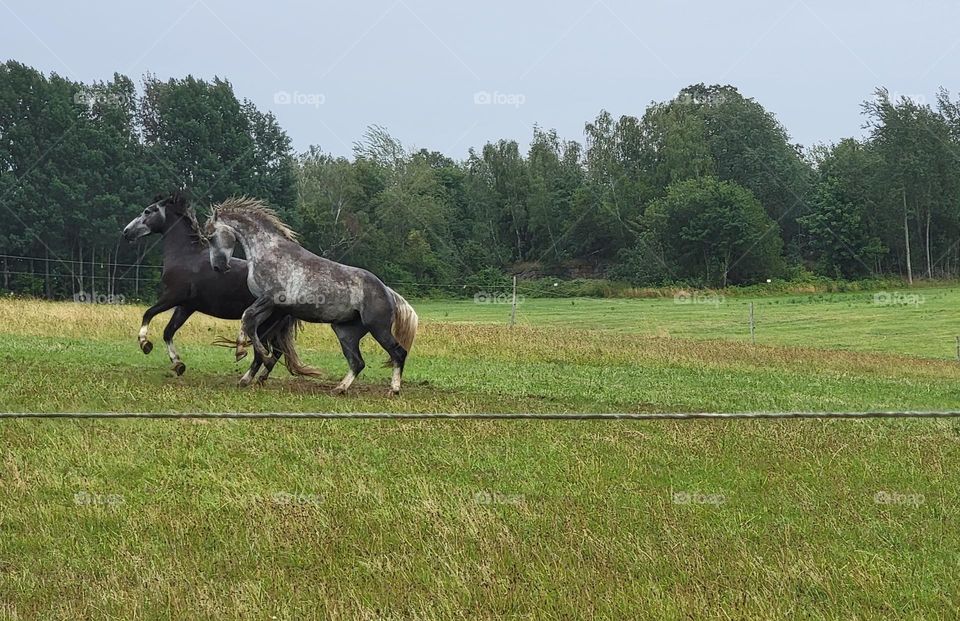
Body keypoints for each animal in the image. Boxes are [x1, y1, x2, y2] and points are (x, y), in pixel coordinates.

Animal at [122, 192, 322, 386]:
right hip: (273, 326)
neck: (185, 256)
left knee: (263, 353)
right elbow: (168, 332)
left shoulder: (172, 296)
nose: (126, 232)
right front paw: (178, 364)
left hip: (264, 325)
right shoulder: (186, 306)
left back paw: (246, 379)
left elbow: (148, 313)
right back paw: (260, 379)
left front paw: (145, 344)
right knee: (275, 352)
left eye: (148, 211)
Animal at [203, 197, 419, 395]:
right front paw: (243, 355)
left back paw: (394, 389)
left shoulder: (271, 298)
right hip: (346, 332)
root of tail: (387, 291)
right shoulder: (270, 306)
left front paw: (251, 353)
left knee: (398, 353)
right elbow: (249, 321)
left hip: (378, 328)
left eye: (211, 237)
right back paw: (339, 388)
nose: (219, 267)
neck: (268, 252)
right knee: (357, 362)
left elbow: (248, 318)